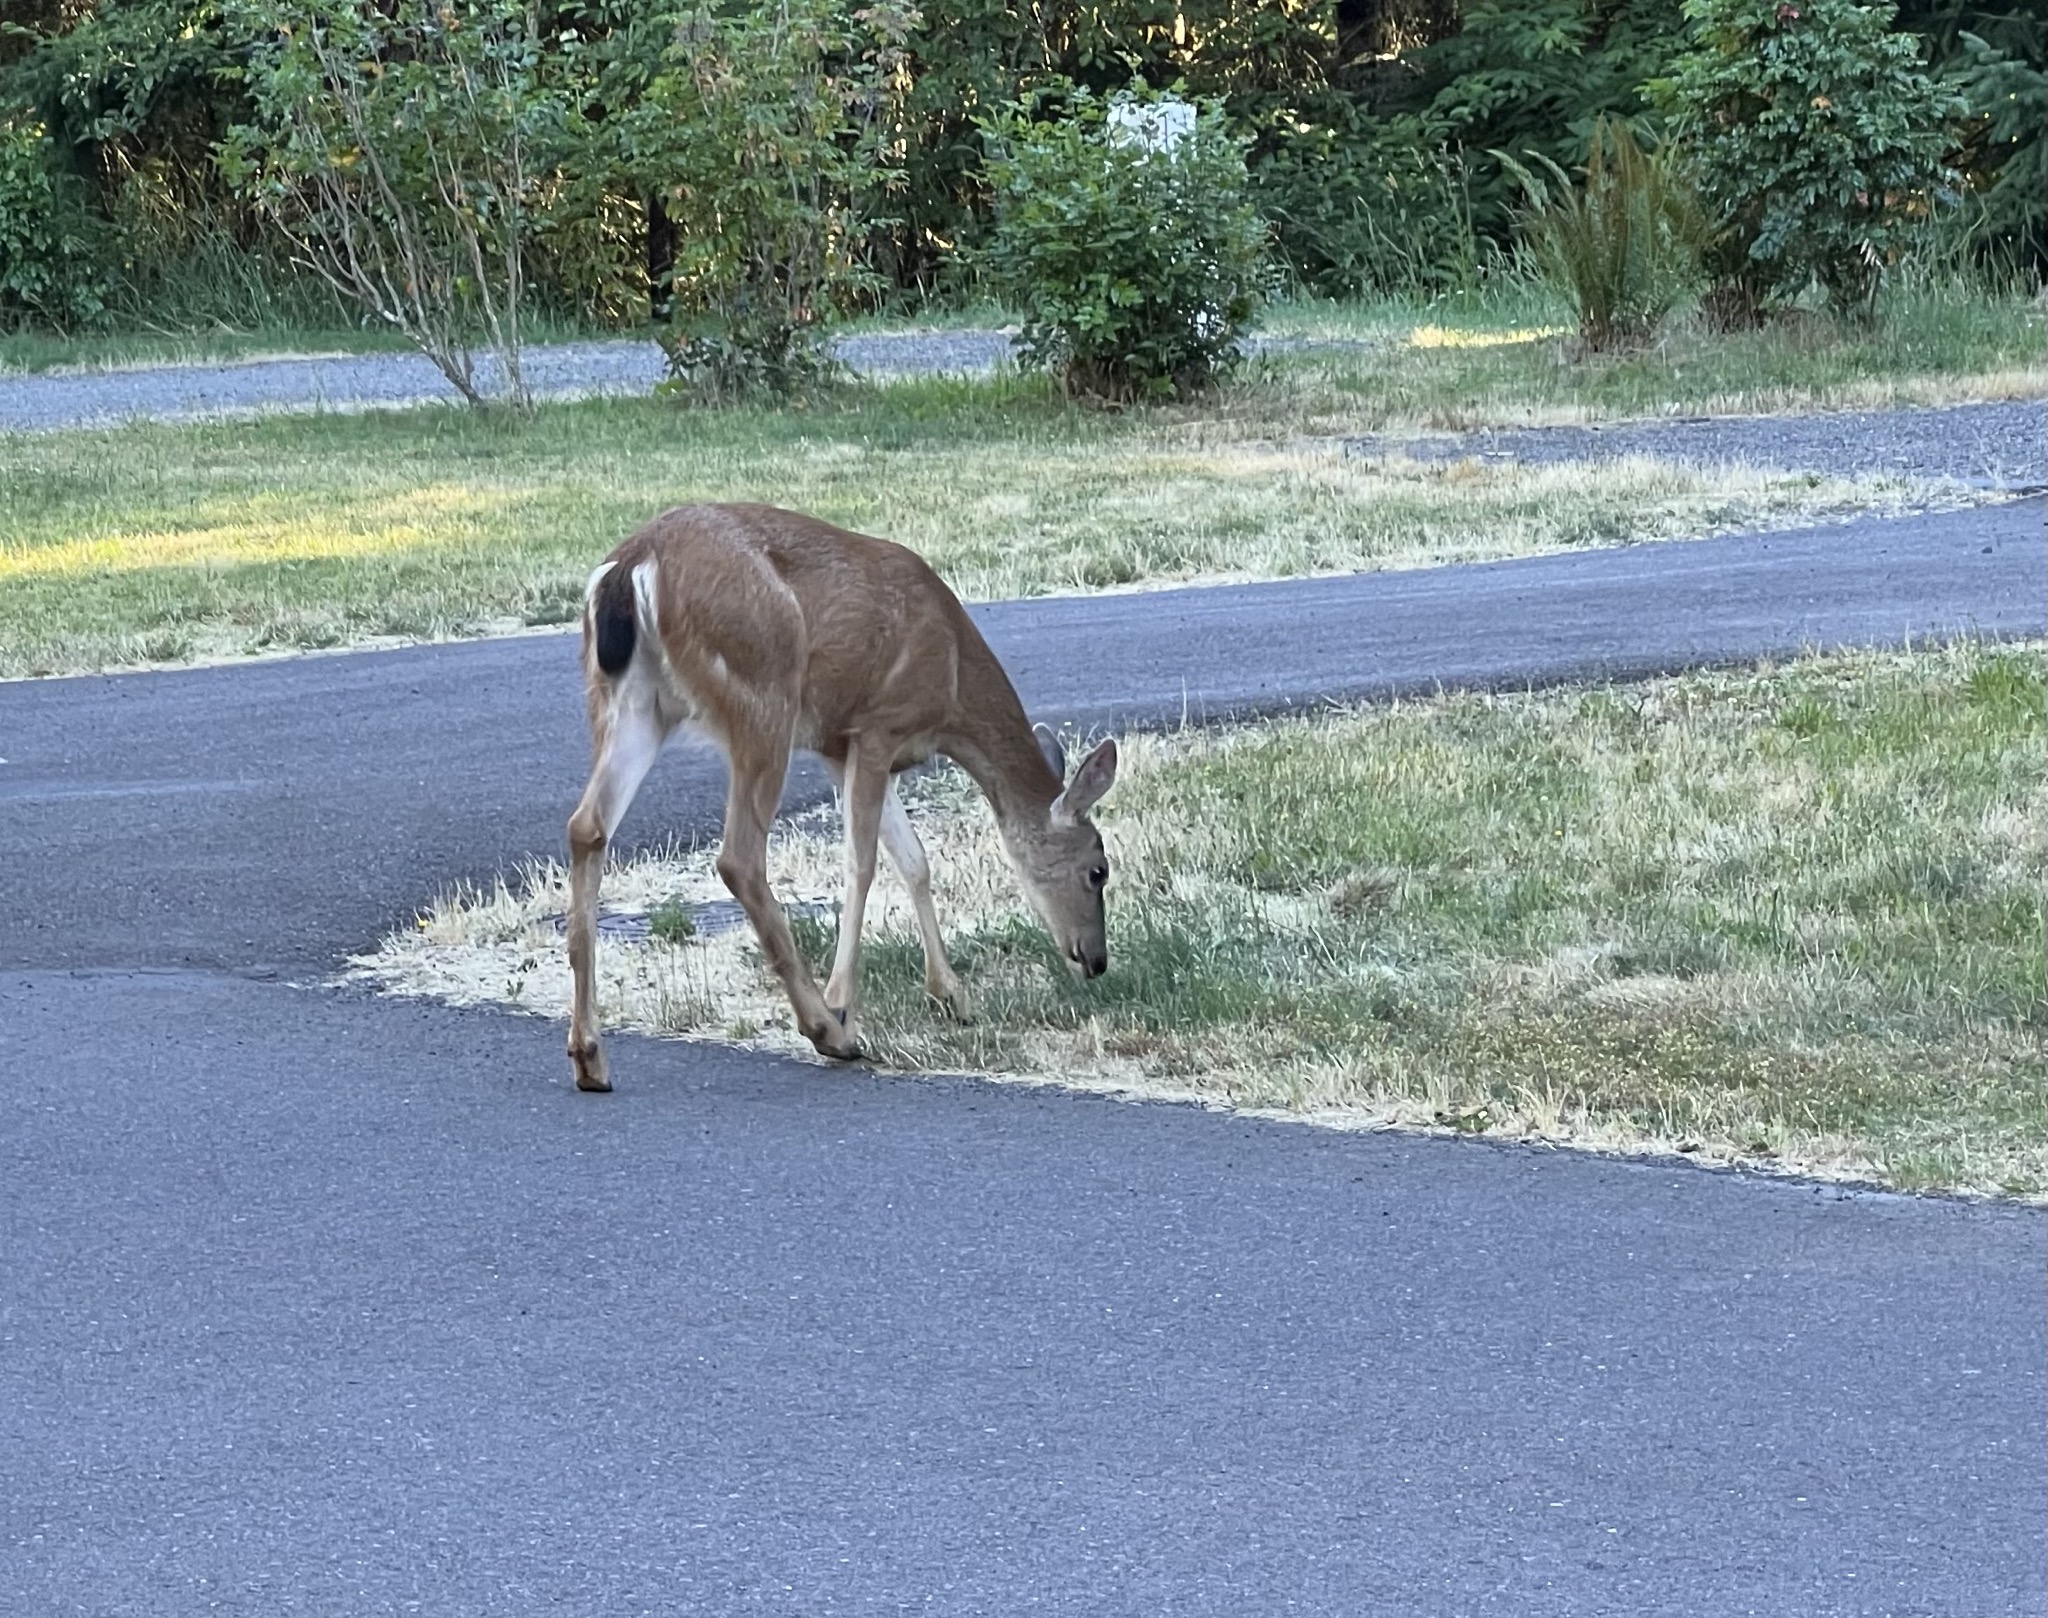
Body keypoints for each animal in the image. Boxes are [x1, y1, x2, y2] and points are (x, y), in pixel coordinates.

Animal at [564, 502, 1120, 1092]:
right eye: (1098, 870)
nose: (1096, 961)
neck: (952, 687)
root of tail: (633, 563)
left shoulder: (838, 746)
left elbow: (914, 860)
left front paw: (952, 995)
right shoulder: (878, 725)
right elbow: (864, 862)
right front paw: (843, 1004)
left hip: (633, 700)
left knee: (587, 826)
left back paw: (589, 1056)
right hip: (763, 692)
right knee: (738, 857)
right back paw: (827, 1031)